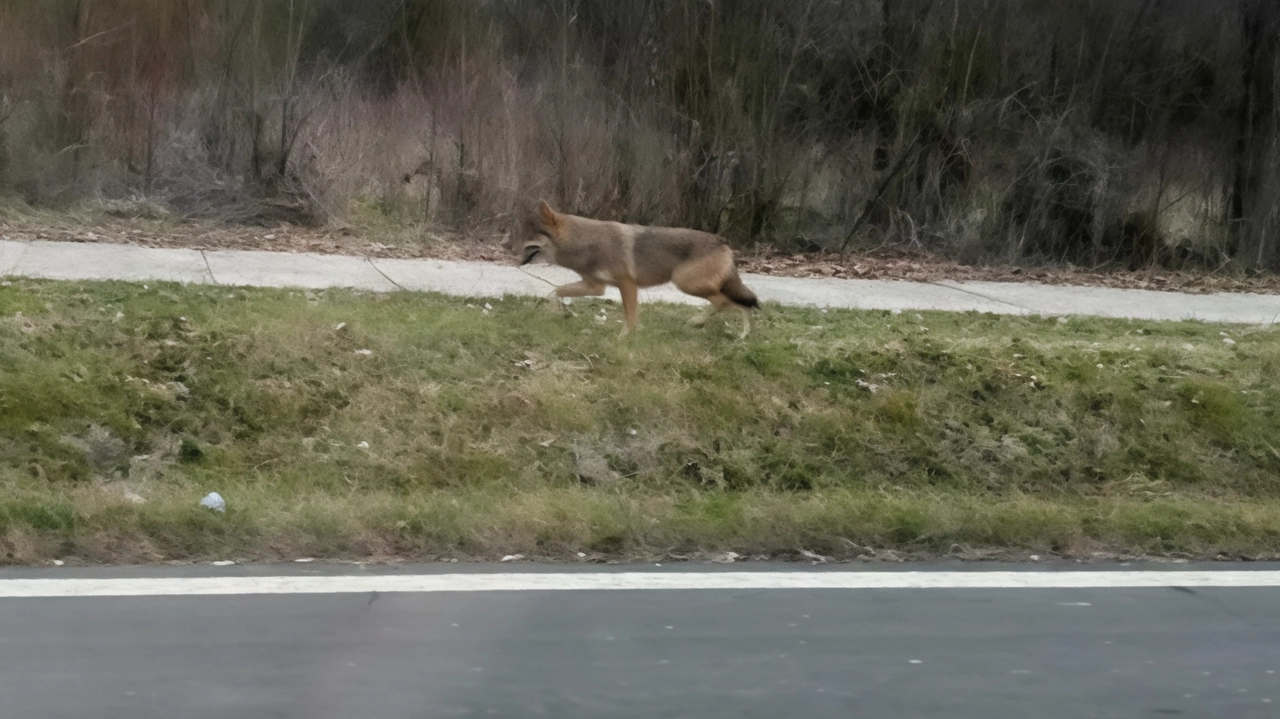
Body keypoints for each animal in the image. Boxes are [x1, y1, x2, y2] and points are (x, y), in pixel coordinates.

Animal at [501, 199, 757, 337]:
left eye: (529, 237)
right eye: (522, 234)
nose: (508, 250)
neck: (584, 242)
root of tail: (722, 241)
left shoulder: (626, 284)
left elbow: (630, 319)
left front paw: (621, 340)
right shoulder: (596, 287)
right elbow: (555, 291)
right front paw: (560, 311)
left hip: (685, 283)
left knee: (730, 303)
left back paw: (712, 325)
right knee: (737, 303)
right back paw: (734, 332)